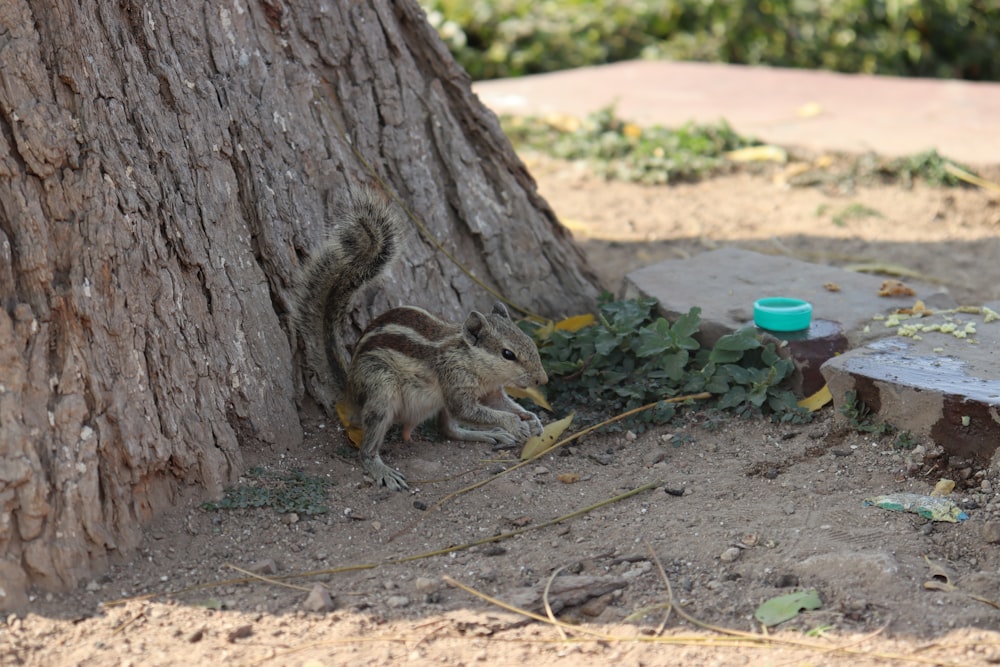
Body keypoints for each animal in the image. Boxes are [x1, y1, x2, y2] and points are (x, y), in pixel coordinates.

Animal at [292, 188, 552, 490]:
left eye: (530, 342)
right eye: (508, 354)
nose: (542, 380)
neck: (472, 362)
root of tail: (349, 386)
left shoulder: (490, 392)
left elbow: (501, 406)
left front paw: (530, 418)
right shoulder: (455, 385)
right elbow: (470, 410)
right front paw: (514, 423)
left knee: (448, 429)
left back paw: (489, 435)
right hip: (381, 389)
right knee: (367, 448)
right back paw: (381, 469)